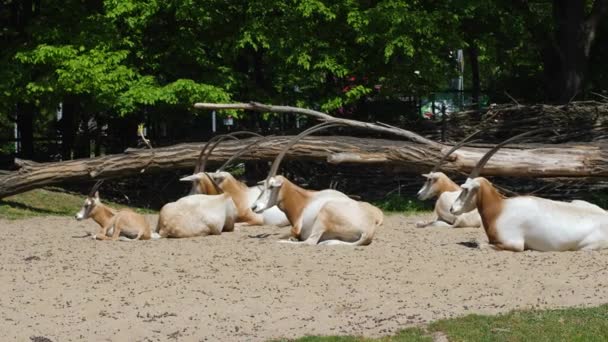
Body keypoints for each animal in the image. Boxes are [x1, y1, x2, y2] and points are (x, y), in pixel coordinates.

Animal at [249, 123, 382, 246]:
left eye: (271, 186)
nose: (253, 207)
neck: (303, 200)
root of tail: (367, 231)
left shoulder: (296, 229)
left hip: (324, 215)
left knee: (310, 242)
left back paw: (282, 242)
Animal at [448, 130, 608, 251]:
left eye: (465, 189)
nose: (452, 209)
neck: (499, 209)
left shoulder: (514, 244)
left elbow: (481, 245)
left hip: (585, 247)